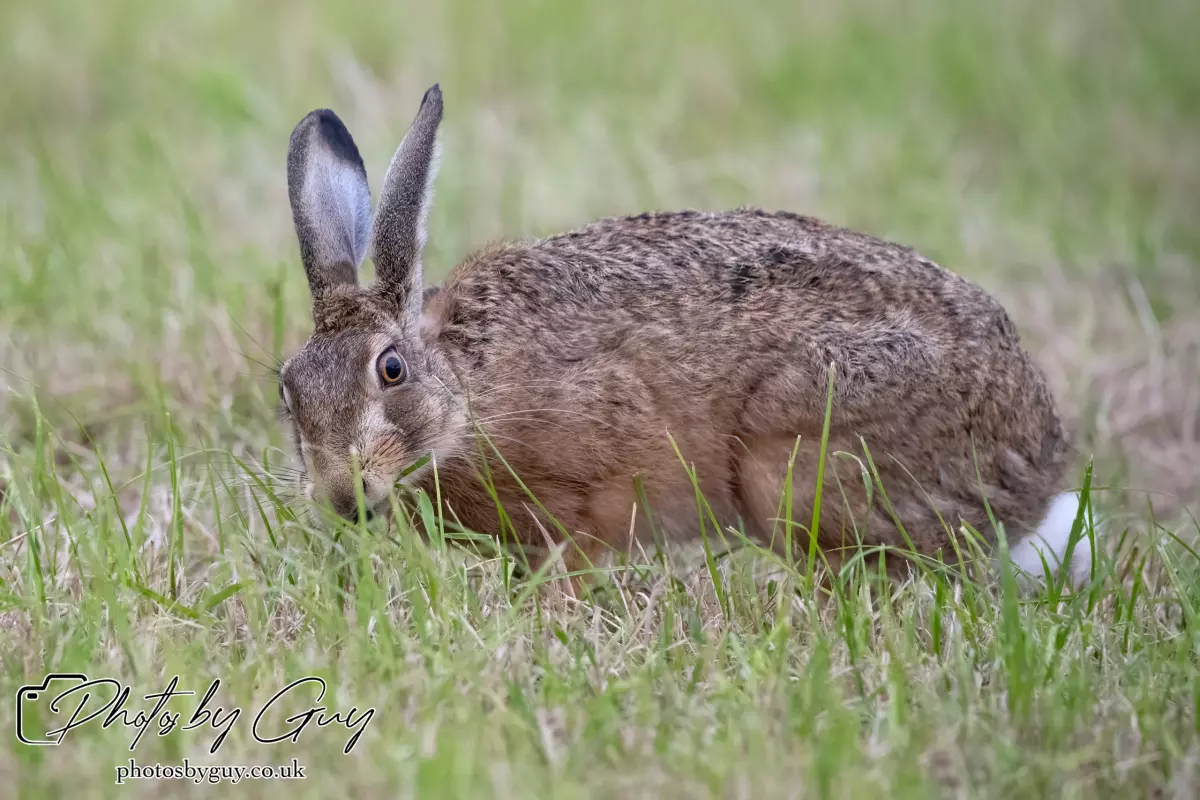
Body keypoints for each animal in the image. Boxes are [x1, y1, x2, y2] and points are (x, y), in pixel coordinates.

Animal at [277, 84, 1091, 592]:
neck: (466, 393)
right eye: (288, 389)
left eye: (390, 370)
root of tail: (1039, 457)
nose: (343, 494)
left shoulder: (583, 496)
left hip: (799, 449)